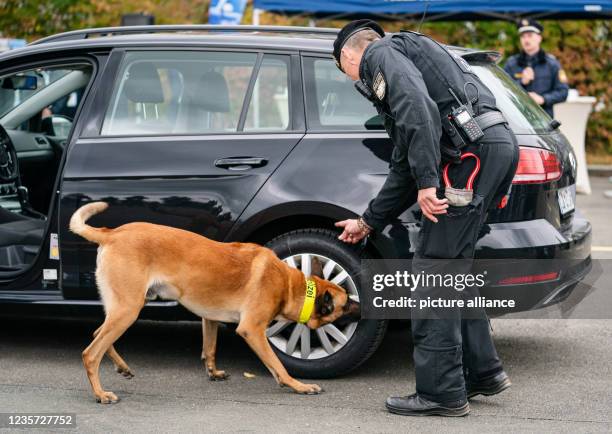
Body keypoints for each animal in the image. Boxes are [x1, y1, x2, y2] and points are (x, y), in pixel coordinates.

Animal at [69, 203, 360, 404]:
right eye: (346, 303)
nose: (363, 306)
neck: (290, 283)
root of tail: (111, 233)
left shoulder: (209, 318)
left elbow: (209, 348)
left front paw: (213, 372)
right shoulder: (252, 330)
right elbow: (278, 364)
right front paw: (297, 385)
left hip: (120, 309)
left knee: (98, 334)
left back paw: (122, 367)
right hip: (128, 309)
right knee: (91, 352)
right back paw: (101, 393)